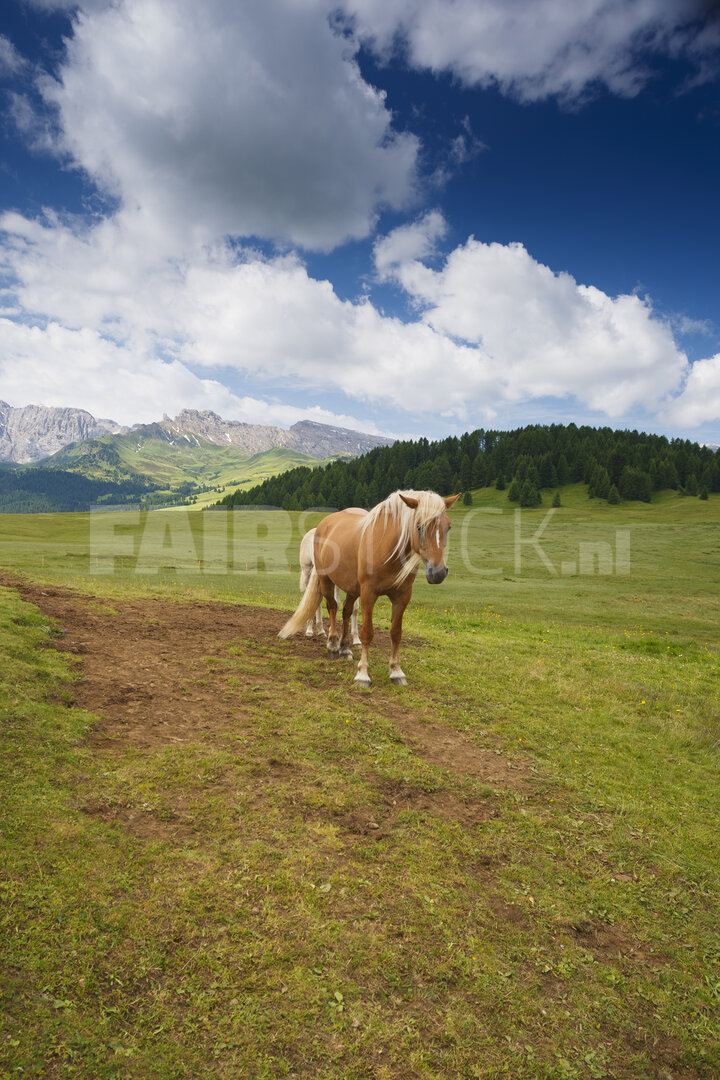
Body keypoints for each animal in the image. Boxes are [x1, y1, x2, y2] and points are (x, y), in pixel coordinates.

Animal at [280, 490, 461, 687]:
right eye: (419, 527)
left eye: (448, 527)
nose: (438, 572)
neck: (387, 549)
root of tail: (324, 524)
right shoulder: (368, 594)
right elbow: (367, 633)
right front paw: (362, 674)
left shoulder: (402, 596)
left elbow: (396, 633)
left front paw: (396, 672)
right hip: (326, 579)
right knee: (332, 607)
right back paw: (333, 645)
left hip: (352, 588)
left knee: (346, 611)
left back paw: (345, 648)